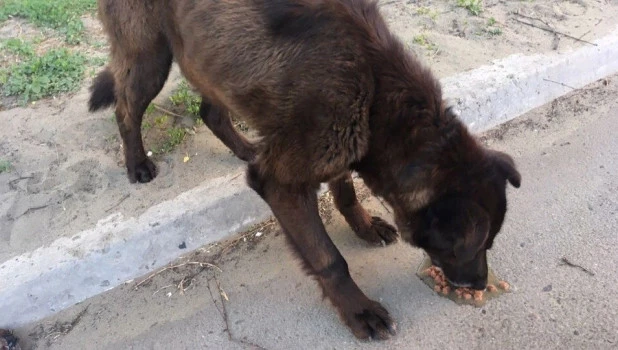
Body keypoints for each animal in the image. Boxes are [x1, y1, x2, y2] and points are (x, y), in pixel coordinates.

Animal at [86, 0, 520, 340]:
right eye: (474, 246)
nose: (481, 284)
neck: (377, 96)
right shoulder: (280, 182)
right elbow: (330, 260)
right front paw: (358, 310)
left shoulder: (341, 141)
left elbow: (345, 190)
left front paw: (364, 225)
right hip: (149, 56)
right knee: (126, 108)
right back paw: (137, 163)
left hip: (208, 59)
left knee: (210, 111)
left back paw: (246, 147)